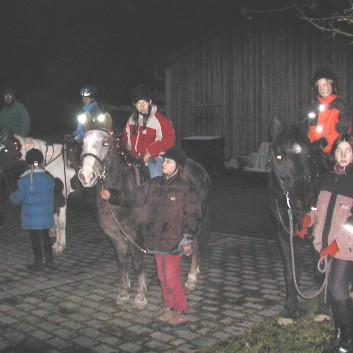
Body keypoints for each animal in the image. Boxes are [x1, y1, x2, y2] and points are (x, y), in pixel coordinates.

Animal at [77, 113, 210, 308]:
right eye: (83, 142)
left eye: (105, 143)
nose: (86, 176)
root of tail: (200, 169)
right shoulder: (115, 237)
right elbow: (122, 264)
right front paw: (123, 293)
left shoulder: (134, 236)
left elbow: (137, 264)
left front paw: (140, 296)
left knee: (195, 245)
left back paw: (191, 279)